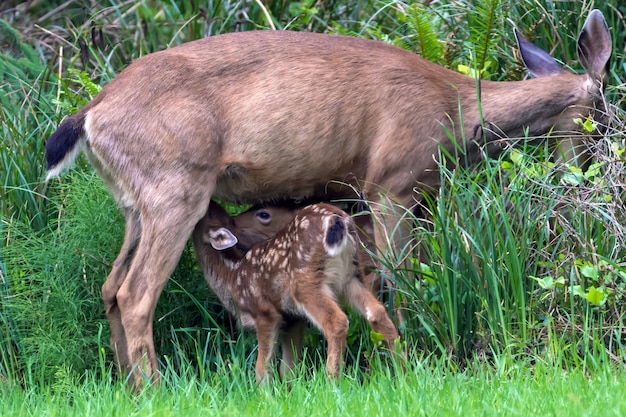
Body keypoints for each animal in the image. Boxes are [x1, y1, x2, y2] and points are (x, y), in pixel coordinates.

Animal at [191, 201, 400, 380]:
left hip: (305, 282)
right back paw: (402, 371)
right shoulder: (293, 318)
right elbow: (288, 368)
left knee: (337, 321)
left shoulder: (265, 313)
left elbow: (262, 368)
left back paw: (332, 382)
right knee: (377, 312)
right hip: (352, 277)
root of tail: (338, 219)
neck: (233, 277)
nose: (210, 201)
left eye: (207, 214)